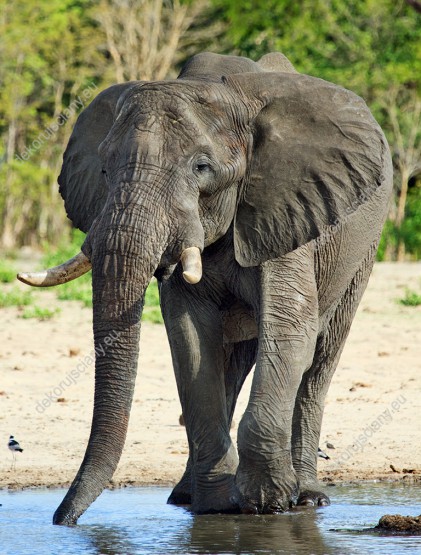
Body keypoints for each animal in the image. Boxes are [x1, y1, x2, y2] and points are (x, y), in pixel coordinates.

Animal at [18, 52, 392, 524]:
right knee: (232, 362)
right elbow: (191, 338)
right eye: (103, 169)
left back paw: (308, 498)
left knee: (320, 360)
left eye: (202, 168)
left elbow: (290, 330)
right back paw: (184, 496)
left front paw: (267, 504)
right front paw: (216, 506)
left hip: (364, 248)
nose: (61, 520)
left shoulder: (285, 209)